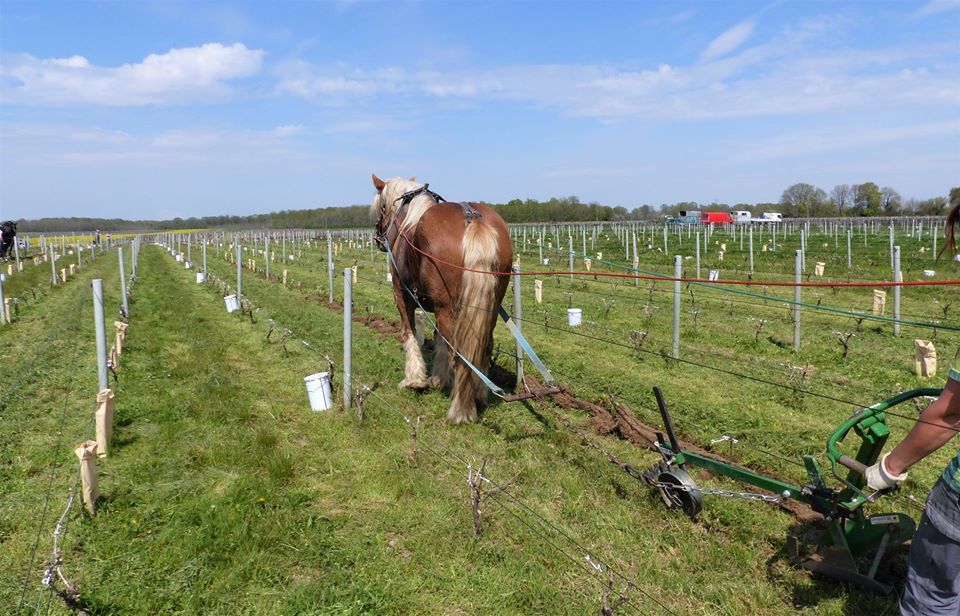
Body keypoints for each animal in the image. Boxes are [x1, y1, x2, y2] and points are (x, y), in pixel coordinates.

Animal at [370, 173, 516, 424]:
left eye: (382, 207)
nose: (378, 237)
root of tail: (473, 218)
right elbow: (439, 340)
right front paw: (438, 379)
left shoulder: (402, 295)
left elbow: (409, 333)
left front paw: (415, 381)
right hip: (487, 308)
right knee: (483, 348)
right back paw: (478, 395)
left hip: (446, 307)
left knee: (460, 354)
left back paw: (461, 410)